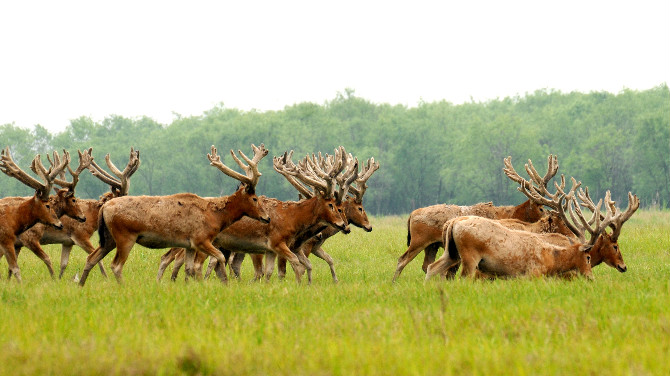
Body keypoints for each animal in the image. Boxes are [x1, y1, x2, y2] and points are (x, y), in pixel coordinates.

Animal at [0, 147, 75, 282]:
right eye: (47, 205)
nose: (60, 224)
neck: (14, 220)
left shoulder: (13, 243)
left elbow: (11, 267)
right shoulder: (17, 239)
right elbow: (17, 267)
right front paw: (54, 279)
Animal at [8, 147, 142, 280]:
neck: (92, 217)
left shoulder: (67, 242)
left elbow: (63, 264)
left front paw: (60, 279)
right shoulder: (80, 235)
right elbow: (97, 258)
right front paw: (106, 278)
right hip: (28, 237)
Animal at [80, 144, 274, 284]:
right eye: (255, 198)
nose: (267, 217)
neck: (216, 217)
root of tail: (104, 208)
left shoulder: (189, 245)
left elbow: (189, 268)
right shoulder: (201, 238)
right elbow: (217, 258)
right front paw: (223, 282)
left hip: (108, 238)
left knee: (91, 257)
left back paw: (81, 285)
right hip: (125, 236)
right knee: (116, 265)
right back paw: (122, 286)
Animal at [159, 145, 354, 284]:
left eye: (341, 206)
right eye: (332, 205)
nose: (344, 225)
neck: (292, 218)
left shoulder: (270, 249)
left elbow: (269, 272)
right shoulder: (277, 241)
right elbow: (295, 265)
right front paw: (300, 285)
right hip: (207, 241)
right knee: (194, 263)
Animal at [392, 155, 560, 282]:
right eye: (541, 208)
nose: (551, 216)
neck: (513, 214)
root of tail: (411, 215)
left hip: (432, 245)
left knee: (427, 265)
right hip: (418, 240)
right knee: (402, 260)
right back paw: (394, 282)